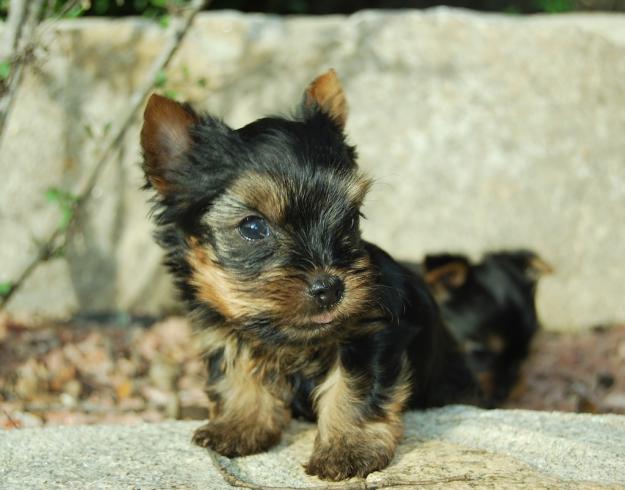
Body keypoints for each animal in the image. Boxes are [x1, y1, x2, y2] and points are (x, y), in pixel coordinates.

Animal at [141, 71, 478, 480]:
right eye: (252, 227)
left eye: (350, 219)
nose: (330, 288)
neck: (289, 339)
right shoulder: (224, 328)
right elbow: (236, 371)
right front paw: (240, 425)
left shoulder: (371, 331)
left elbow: (354, 389)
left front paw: (349, 448)